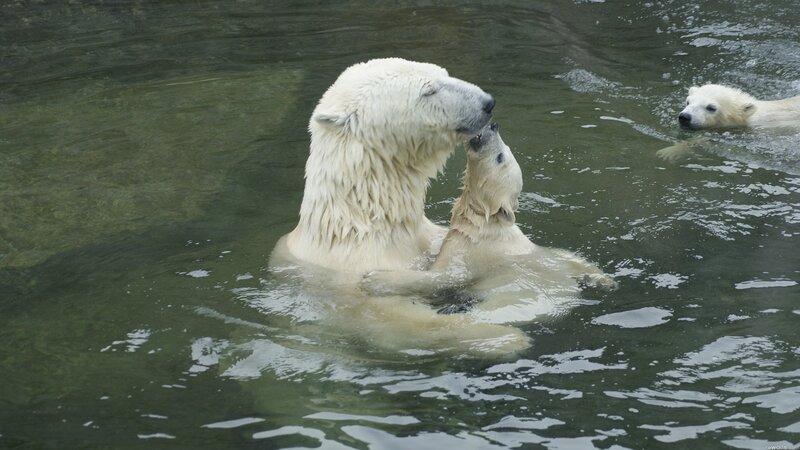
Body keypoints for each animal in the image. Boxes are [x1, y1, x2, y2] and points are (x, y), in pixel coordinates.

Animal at [362, 123, 615, 322]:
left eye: (500, 157)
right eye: (506, 150)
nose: (493, 126)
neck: (483, 222)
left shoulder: (473, 251)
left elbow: (444, 276)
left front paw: (374, 279)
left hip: (515, 298)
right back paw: (601, 280)